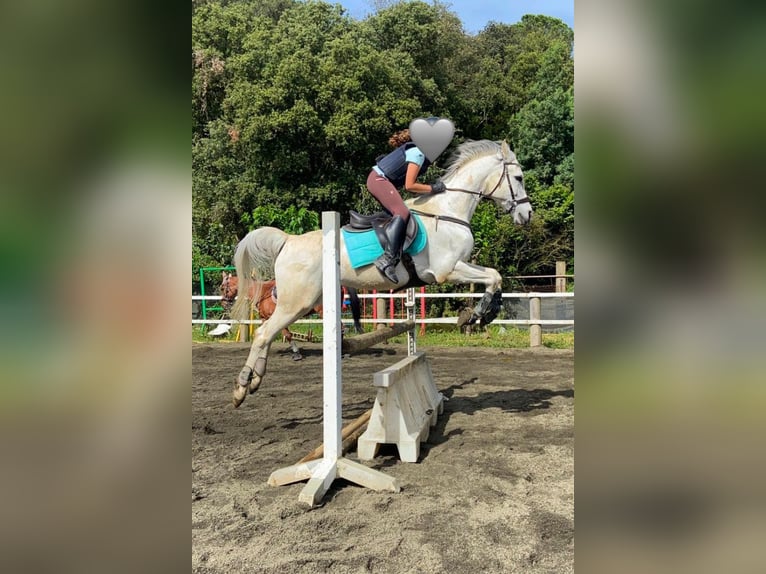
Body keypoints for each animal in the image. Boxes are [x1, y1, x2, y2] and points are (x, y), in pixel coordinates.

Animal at [232, 140, 536, 410]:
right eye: (518, 177)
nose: (527, 214)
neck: (448, 212)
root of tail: (289, 240)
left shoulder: (456, 267)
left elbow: (495, 276)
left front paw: (483, 312)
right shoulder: (447, 270)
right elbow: (494, 276)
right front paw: (479, 313)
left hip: (301, 303)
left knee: (269, 334)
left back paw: (256, 380)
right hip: (297, 302)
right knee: (264, 334)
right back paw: (242, 387)